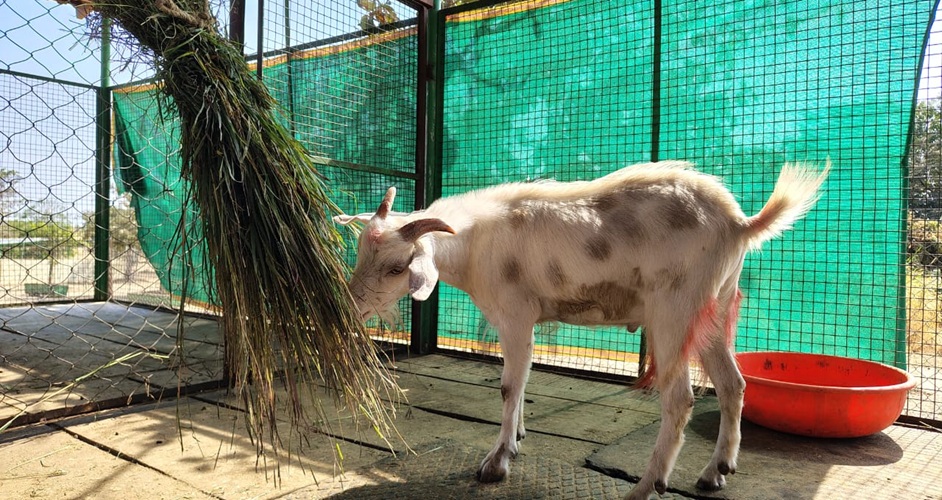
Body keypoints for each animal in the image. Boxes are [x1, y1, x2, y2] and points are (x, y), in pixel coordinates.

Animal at [334, 161, 828, 500]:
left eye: (397, 267)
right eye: (360, 253)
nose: (350, 306)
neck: (476, 244)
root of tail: (739, 224)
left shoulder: (515, 313)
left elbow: (509, 385)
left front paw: (496, 462)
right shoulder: (528, 321)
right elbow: (524, 381)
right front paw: (518, 437)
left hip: (675, 310)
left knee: (680, 399)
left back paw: (646, 486)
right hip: (712, 309)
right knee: (732, 384)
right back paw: (716, 471)